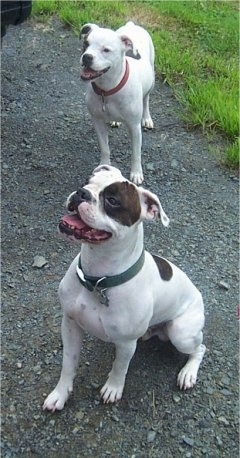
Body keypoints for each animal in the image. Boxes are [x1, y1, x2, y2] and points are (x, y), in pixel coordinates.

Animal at [43, 165, 206, 412]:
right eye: (86, 182)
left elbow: (120, 367)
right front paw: (60, 394)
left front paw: (113, 388)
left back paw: (188, 373)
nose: (81, 192)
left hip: (181, 333)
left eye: (112, 200)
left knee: (200, 348)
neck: (98, 280)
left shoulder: (127, 343)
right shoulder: (70, 325)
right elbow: (68, 364)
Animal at [79, 19, 155, 184]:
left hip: (151, 79)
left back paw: (147, 118)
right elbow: (105, 148)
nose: (86, 57)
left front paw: (136, 173)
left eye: (106, 50)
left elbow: (136, 153)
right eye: (86, 44)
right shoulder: (98, 121)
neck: (107, 90)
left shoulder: (134, 127)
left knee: (146, 99)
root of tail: (132, 25)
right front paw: (103, 167)